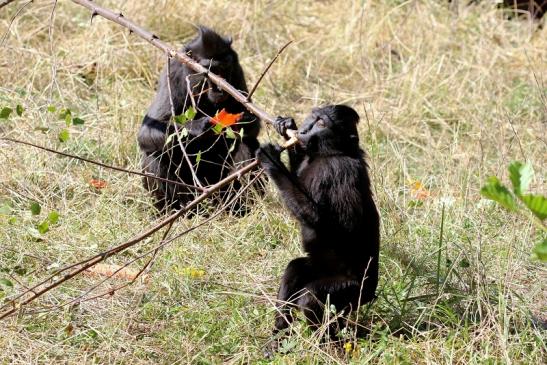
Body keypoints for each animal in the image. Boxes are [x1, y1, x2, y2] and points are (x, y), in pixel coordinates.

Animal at [139, 25, 264, 212]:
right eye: (209, 69)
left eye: (224, 67)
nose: (220, 85)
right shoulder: (173, 73)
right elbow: (146, 132)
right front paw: (198, 128)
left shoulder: (236, 70)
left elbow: (251, 126)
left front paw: (243, 121)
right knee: (155, 153)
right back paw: (175, 211)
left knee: (246, 143)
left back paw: (241, 208)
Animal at [258, 104, 382, 340]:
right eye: (313, 117)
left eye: (322, 123)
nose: (304, 130)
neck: (331, 153)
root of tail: (371, 294)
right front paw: (286, 126)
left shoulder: (341, 171)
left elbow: (326, 221)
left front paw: (272, 160)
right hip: (322, 269)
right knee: (295, 269)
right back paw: (279, 336)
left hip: (352, 291)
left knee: (311, 296)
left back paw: (327, 344)